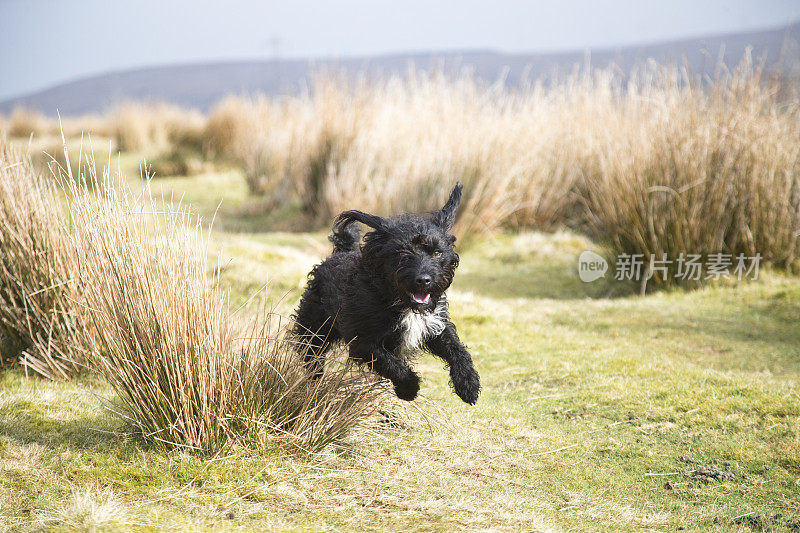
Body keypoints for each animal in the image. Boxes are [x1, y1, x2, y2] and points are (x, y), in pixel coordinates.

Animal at [294, 183, 482, 404]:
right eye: (402, 253)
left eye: (437, 253)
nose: (424, 279)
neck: (399, 301)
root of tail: (341, 252)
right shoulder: (363, 341)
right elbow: (392, 364)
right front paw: (408, 389)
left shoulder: (435, 326)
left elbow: (457, 350)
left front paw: (468, 384)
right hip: (314, 330)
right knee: (312, 358)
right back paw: (314, 385)